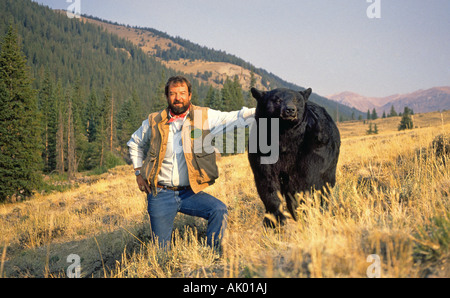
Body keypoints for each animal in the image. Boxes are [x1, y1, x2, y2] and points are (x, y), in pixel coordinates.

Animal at [248, 87, 340, 227]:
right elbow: (267, 181)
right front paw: (274, 219)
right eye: (277, 100)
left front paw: (300, 211)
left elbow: (302, 180)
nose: (290, 109)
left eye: (297, 100)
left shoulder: (311, 147)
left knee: (325, 185)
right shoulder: (261, 148)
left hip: (329, 161)